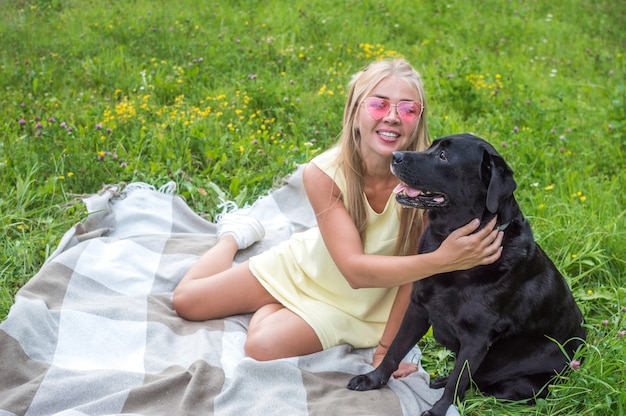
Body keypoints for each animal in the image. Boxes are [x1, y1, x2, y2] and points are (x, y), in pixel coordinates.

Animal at [348, 133, 584, 416]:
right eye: (432, 146)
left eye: (443, 156)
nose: (395, 156)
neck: (447, 243)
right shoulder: (417, 308)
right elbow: (395, 348)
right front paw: (372, 380)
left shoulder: (476, 339)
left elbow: (458, 381)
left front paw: (438, 410)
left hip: (520, 386)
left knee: (479, 385)